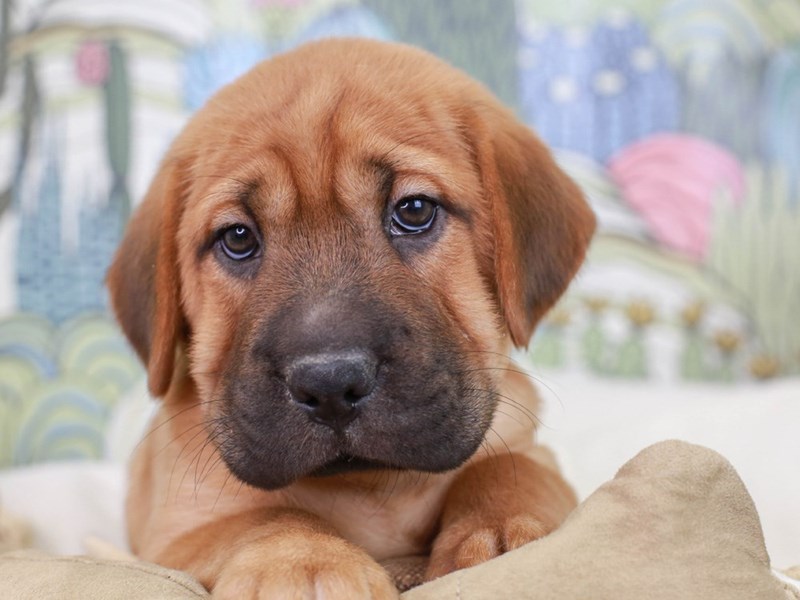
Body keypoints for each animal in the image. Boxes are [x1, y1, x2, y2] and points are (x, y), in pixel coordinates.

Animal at [106, 39, 592, 596]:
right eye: (238, 238)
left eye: (415, 210)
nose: (330, 384)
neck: (373, 486)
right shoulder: (178, 530)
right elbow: (267, 518)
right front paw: (304, 562)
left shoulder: (527, 447)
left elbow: (510, 471)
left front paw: (499, 532)